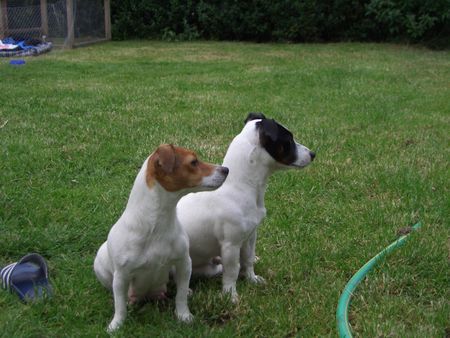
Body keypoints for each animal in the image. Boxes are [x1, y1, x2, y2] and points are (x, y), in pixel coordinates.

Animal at [94, 144, 229, 332]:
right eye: (193, 162)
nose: (226, 169)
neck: (157, 225)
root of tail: (149, 295)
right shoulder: (121, 276)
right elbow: (119, 305)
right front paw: (116, 325)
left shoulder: (184, 263)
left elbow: (180, 296)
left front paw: (184, 316)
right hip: (101, 265)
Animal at [177, 113, 316, 302]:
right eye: (288, 140)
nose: (313, 154)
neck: (240, 185)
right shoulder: (231, 245)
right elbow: (232, 271)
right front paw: (230, 295)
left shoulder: (250, 236)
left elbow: (248, 259)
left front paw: (252, 279)